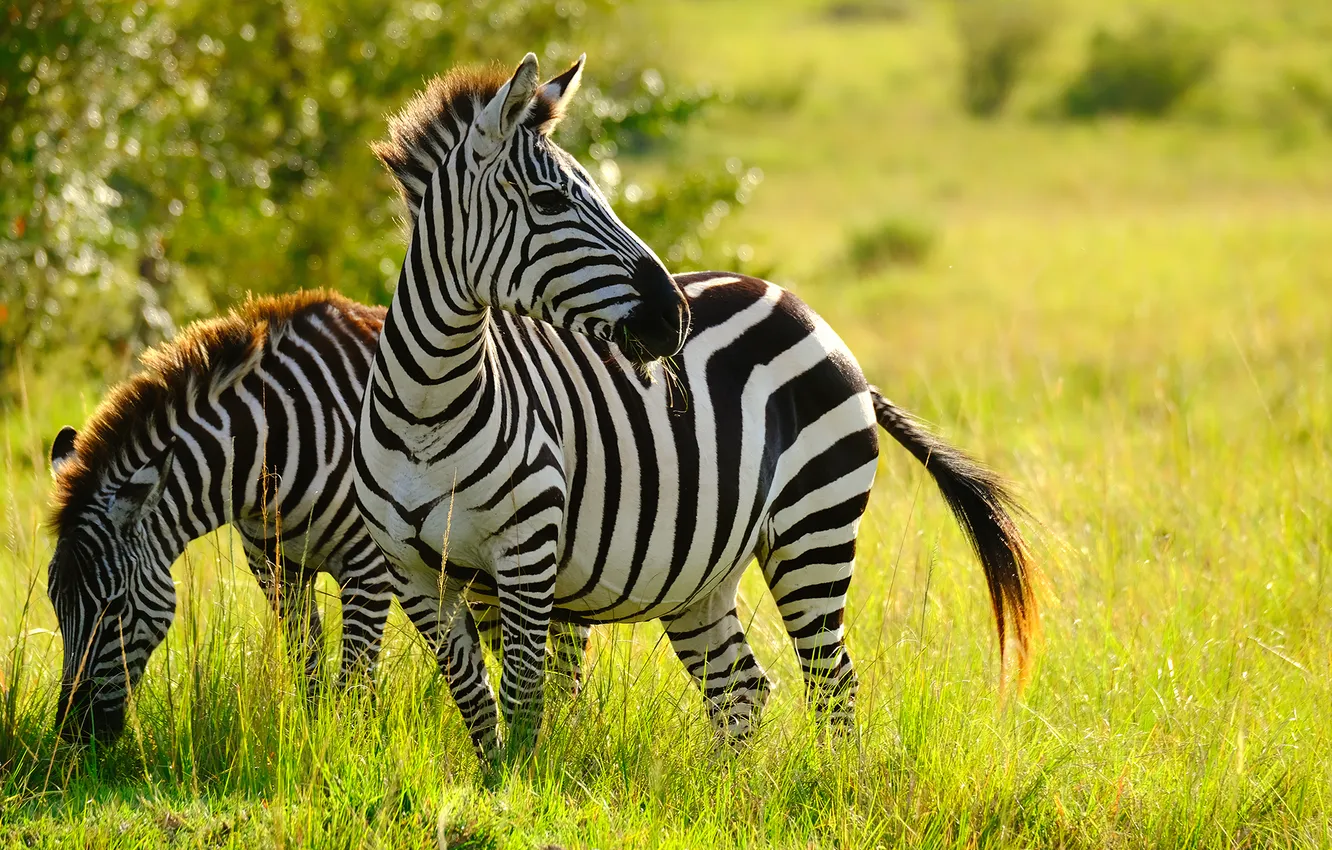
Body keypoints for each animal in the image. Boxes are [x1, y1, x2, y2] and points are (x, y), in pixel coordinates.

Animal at [352, 53, 1040, 764]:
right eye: (547, 202)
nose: (674, 317)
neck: (428, 410)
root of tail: (804, 309)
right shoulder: (412, 574)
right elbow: (476, 702)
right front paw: (494, 777)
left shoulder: (526, 555)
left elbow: (520, 701)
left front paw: (516, 783)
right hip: (700, 573)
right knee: (742, 686)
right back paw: (725, 786)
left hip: (814, 527)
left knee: (832, 682)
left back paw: (831, 781)